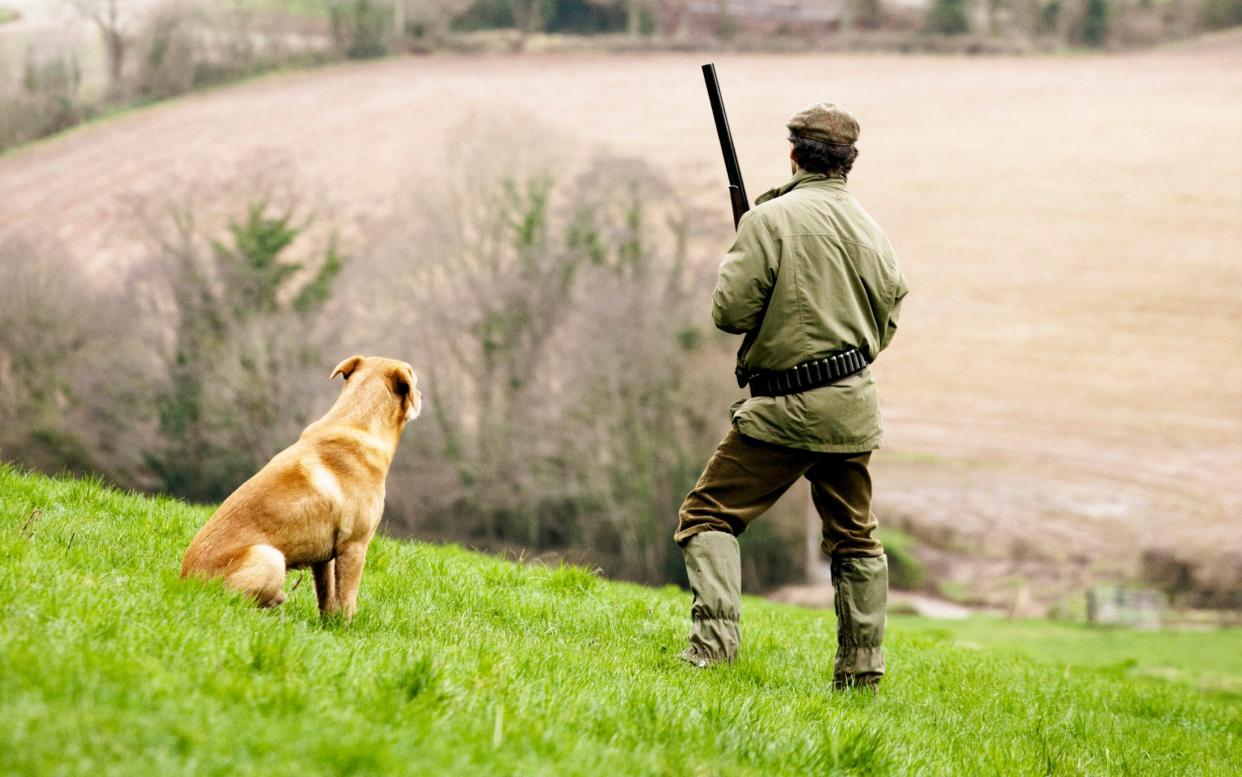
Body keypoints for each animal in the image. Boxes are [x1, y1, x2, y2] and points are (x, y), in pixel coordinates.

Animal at [180, 354, 422, 618]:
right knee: (238, 603)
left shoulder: (324, 558)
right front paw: (346, 626)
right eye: (414, 379)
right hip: (269, 556)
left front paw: (328, 624)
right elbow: (347, 600)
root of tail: (186, 584)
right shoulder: (354, 546)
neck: (358, 422)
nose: (422, 395)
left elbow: (327, 596)